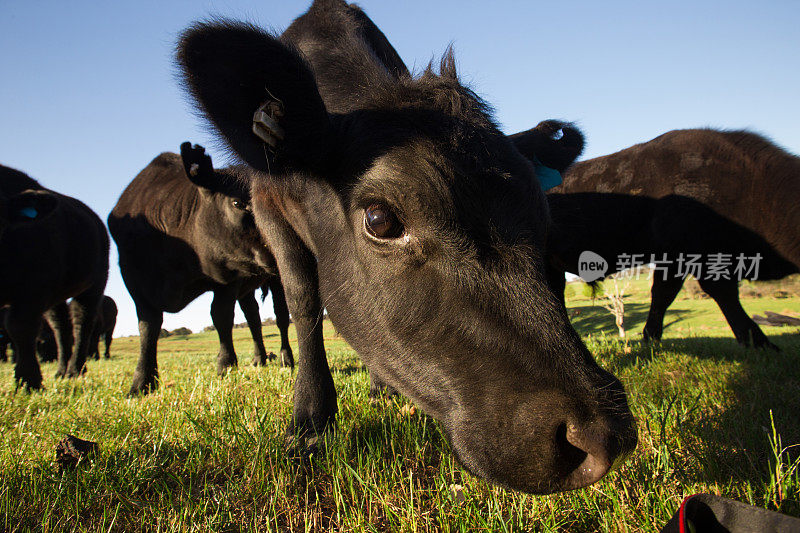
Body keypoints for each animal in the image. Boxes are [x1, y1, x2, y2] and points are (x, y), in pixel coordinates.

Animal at [0, 164, 109, 388]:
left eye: (0, 220)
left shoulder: (34, 288)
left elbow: (20, 327)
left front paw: (28, 381)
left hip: (93, 286)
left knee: (81, 324)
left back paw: (76, 370)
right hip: (56, 298)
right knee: (61, 328)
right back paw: (61, 370)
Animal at [107, 141, 294, 394]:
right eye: (237, 202)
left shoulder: (229, 276)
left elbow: (220, 316)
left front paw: (225, 365)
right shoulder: (134, 281)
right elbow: (147, 328)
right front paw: (142, 382)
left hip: (274, 280)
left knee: (281, 316)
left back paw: (286, 359)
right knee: (253, 317)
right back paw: (259, 358)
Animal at [175, 0, 636, 494]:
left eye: (542, 219)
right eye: (380, 219)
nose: (601, 433)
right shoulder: (266, 204)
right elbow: (302, 299)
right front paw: (310, 423)